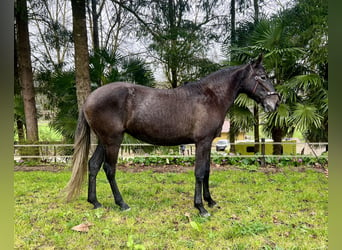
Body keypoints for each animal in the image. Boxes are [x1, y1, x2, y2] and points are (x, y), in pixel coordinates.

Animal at [65, 54, 280, 217]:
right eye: (262, 76)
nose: (275, 102)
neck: (211, 97)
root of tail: (90, 98)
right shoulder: (202, 142)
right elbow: (200, 172)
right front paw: (200, 207)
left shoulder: (208, 143)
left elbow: (207, 171)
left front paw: (210, 201)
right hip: (113, 140)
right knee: (109, 169)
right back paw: (122, 204)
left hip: (104, 140)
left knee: (93, 165)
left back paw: (95, 202)